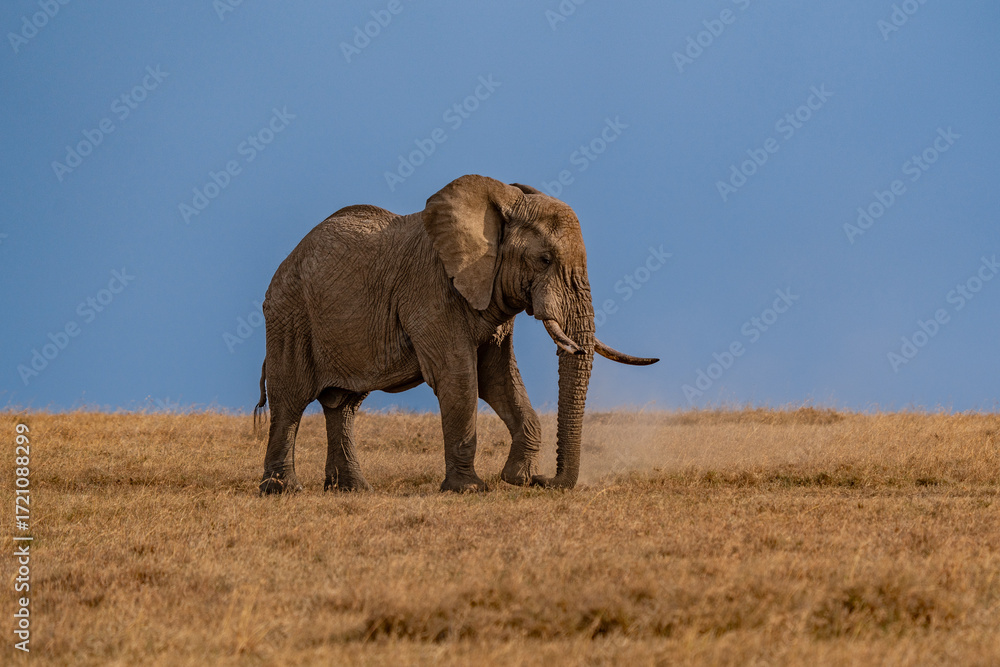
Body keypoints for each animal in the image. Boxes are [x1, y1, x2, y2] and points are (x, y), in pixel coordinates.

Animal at [254, 174, 657, 494]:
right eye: (544, 260)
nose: (546, 480)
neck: (501, 202)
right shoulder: (431, 292)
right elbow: (460, 378)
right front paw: (470, 489)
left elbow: (499, 379)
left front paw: (517, 478)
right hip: (290, 316)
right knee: (290, 399)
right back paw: (283, 490)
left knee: (343, 404)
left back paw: (352, 489)